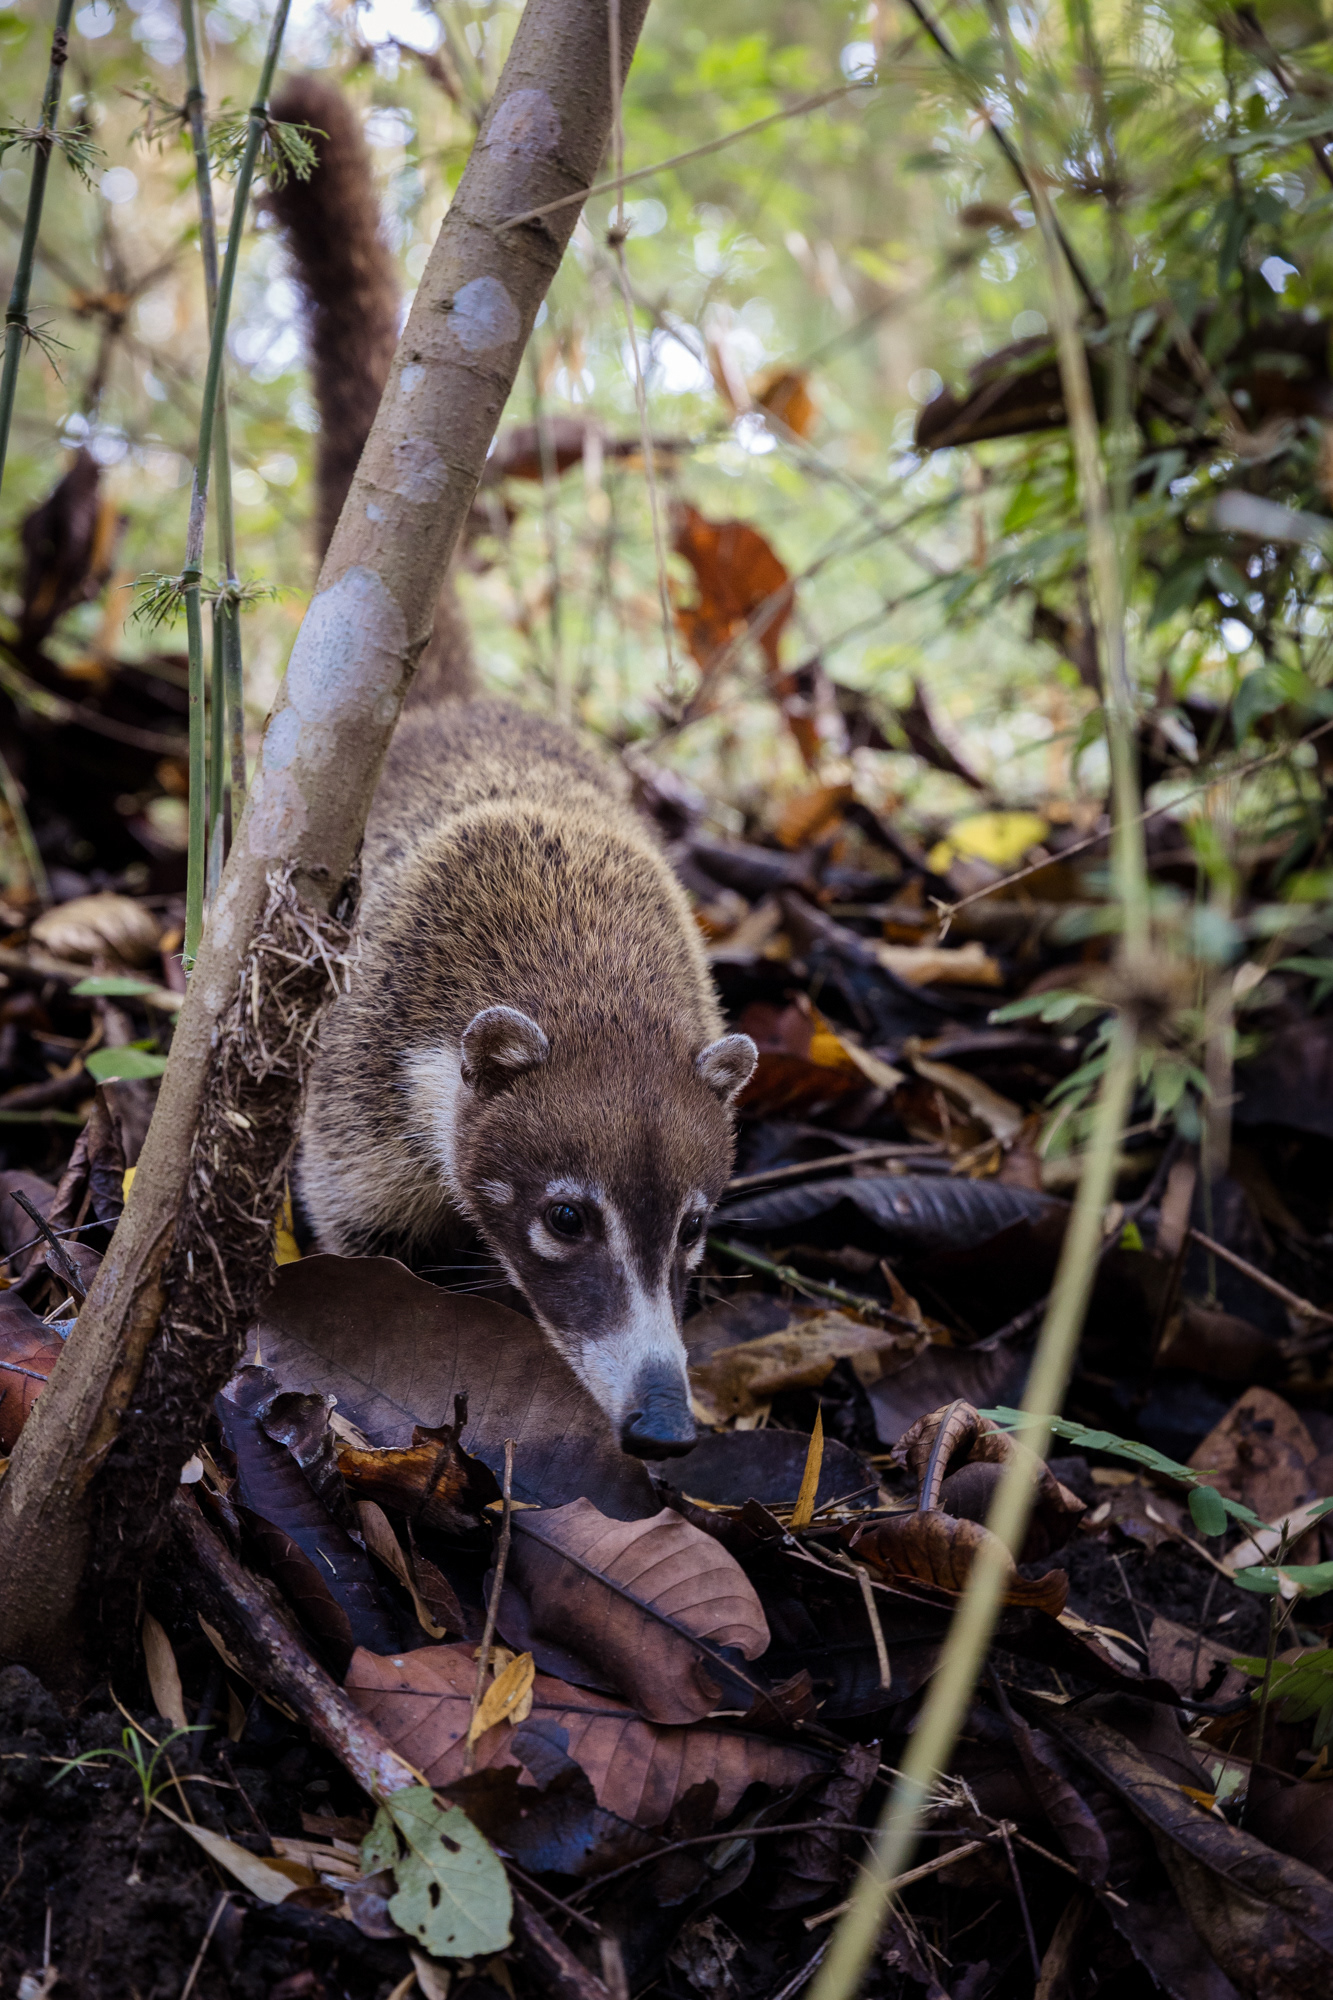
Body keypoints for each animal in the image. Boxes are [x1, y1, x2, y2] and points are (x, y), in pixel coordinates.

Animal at [269, 77, 757, 1458]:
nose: (663, 1425)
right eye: (565, 1218)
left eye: (695, 1227)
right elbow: (354, 1221)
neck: (588, 984)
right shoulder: (359, 1087)